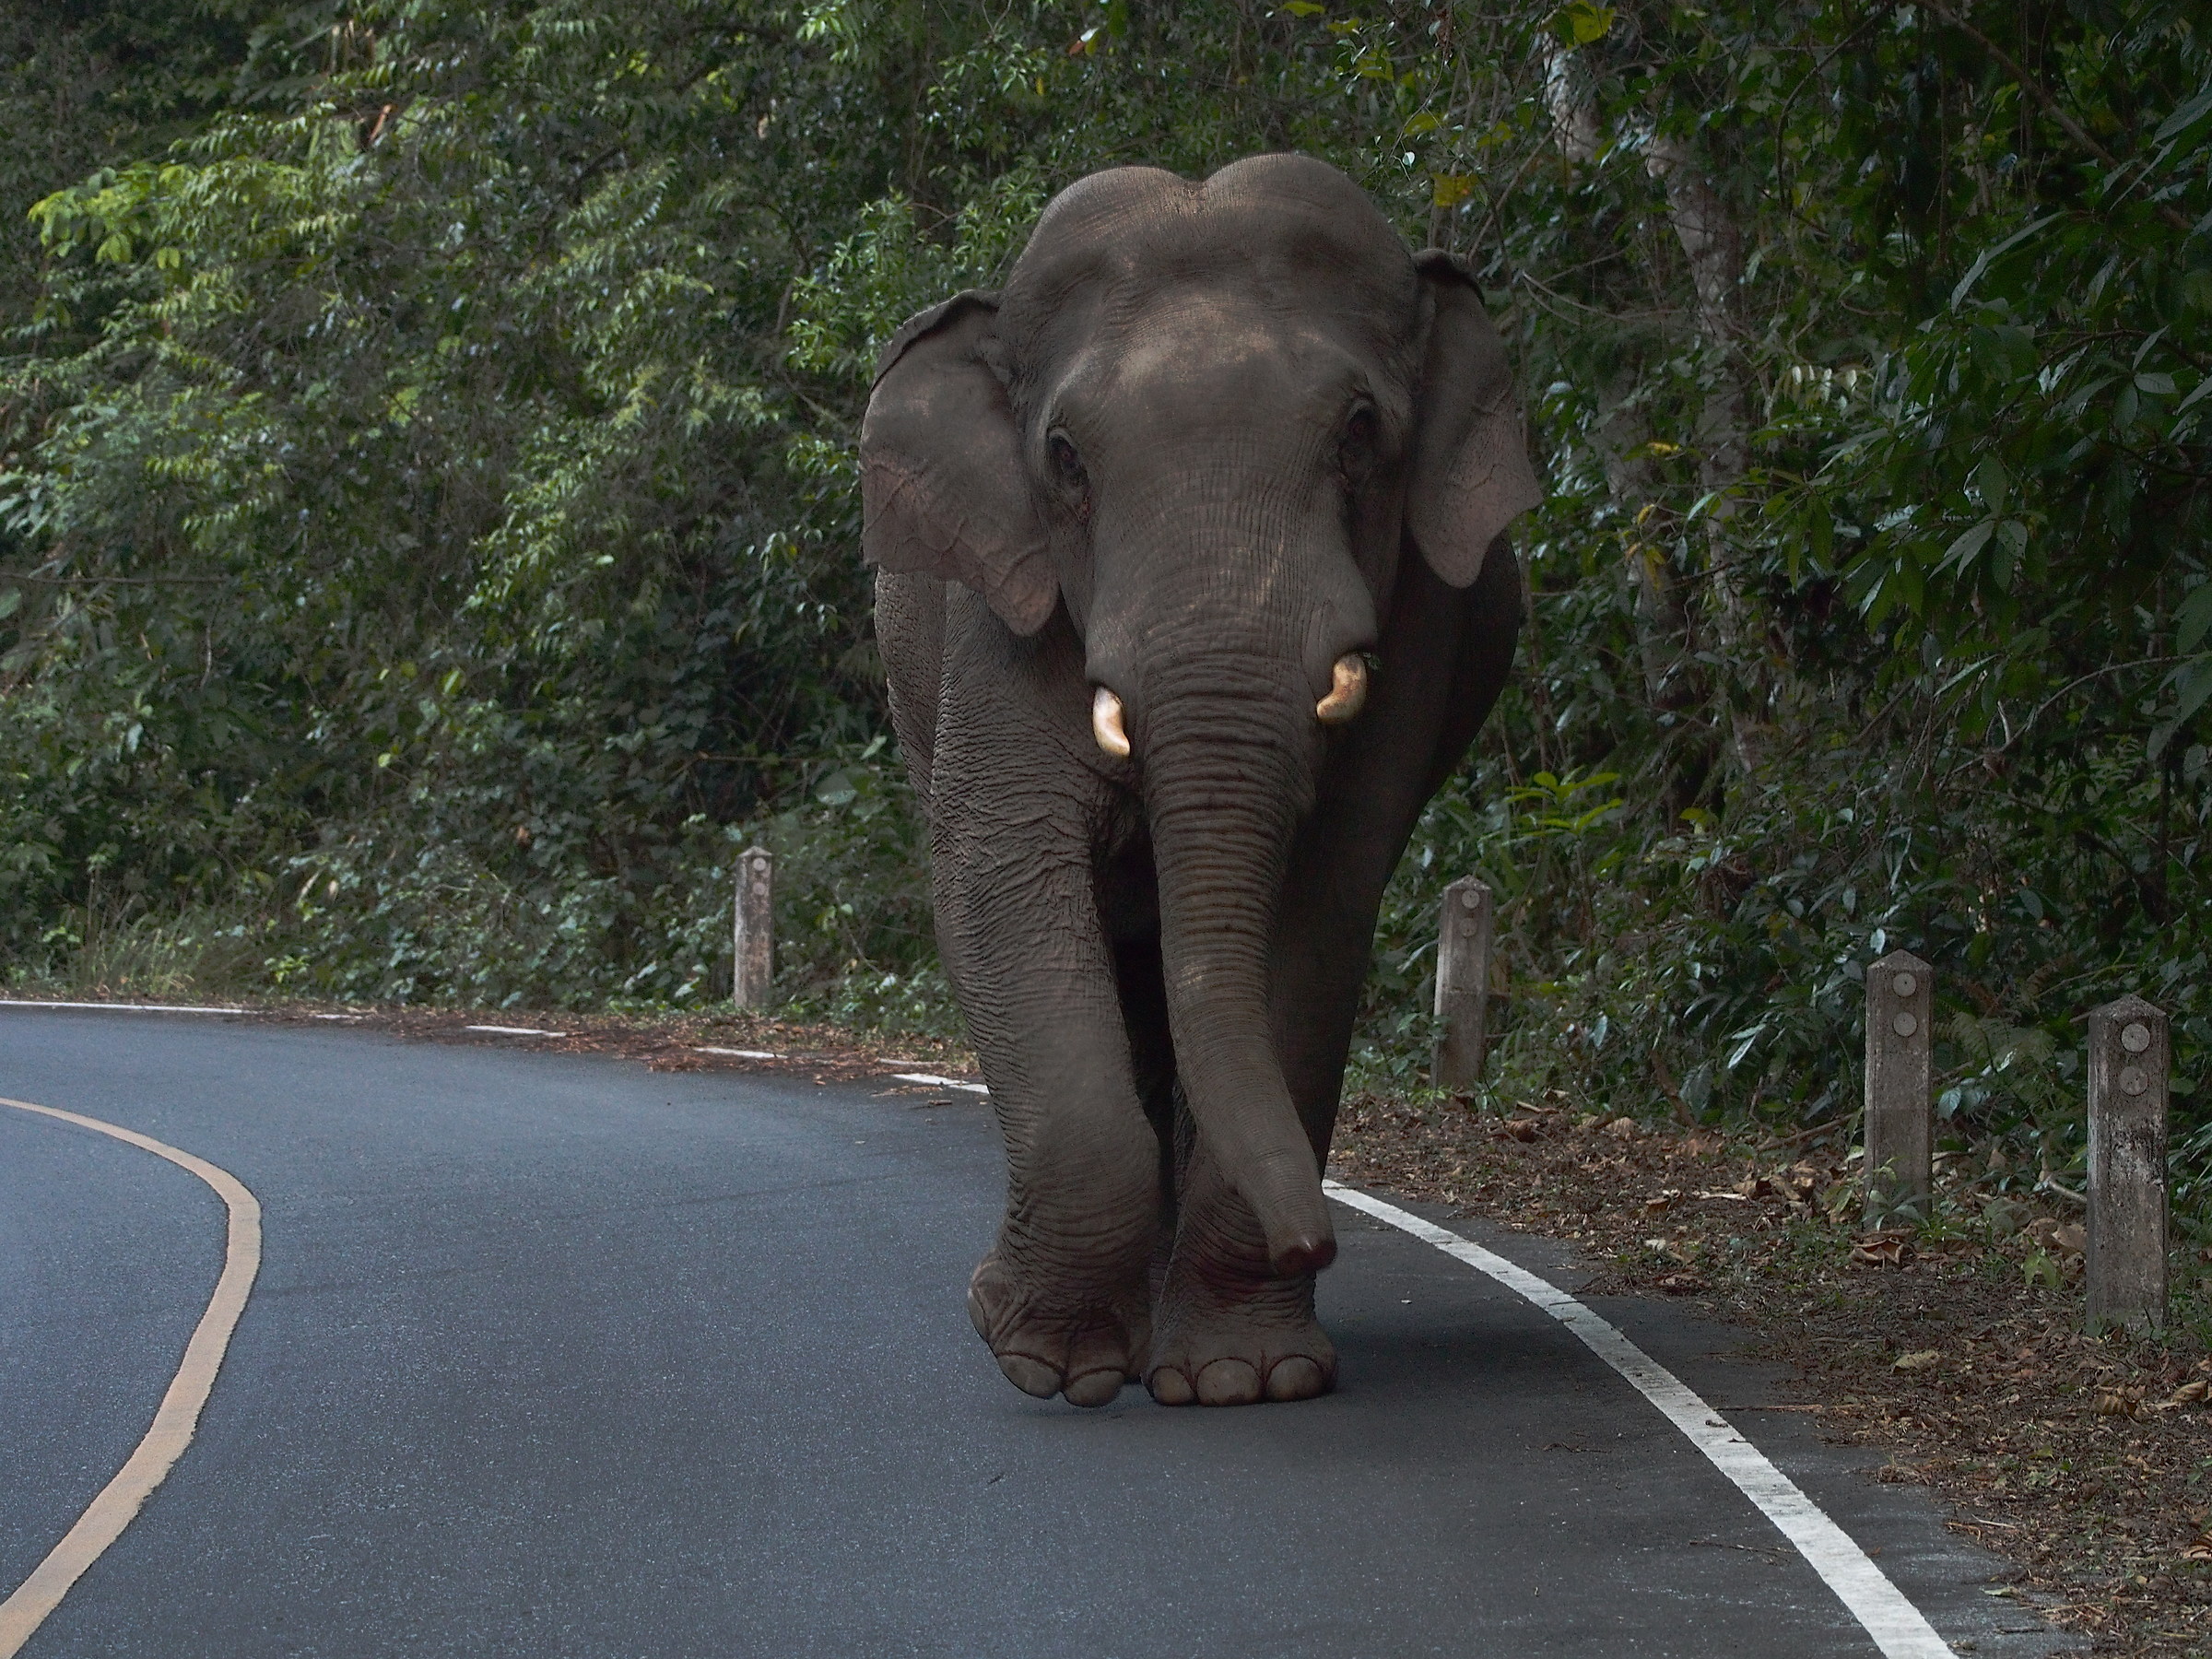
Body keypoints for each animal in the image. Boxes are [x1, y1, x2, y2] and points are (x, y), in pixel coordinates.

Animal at [861, 152, 1541, 1409]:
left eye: (1360, 432)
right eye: (1065, 459)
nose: (1315, 1239)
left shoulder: (1420, 629)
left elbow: (1320, 909)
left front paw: (1240, 1380)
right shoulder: (999, 617)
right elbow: (997, 879)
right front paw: (1043, 1359)